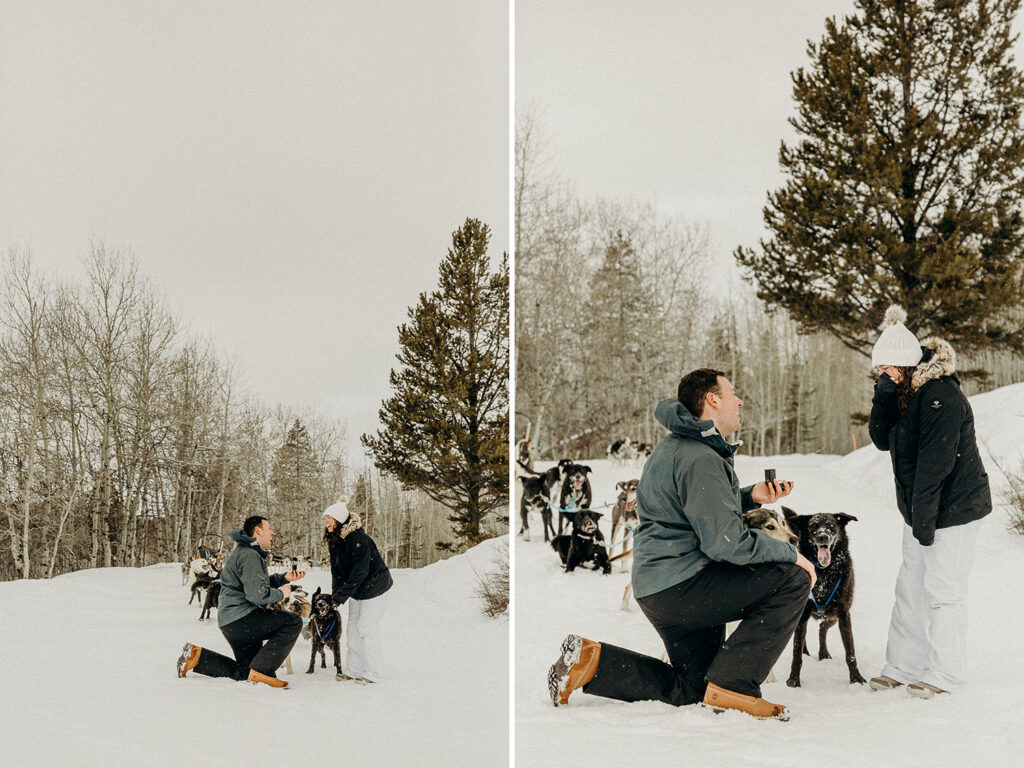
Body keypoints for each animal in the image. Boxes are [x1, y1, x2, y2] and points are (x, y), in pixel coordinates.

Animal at [782, 507, 864, 688]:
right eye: (813, 526)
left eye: (831, 525)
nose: (823, 537)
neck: (824, 573)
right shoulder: (803, 614)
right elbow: (796, 652)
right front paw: (793, 680)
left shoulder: (844, 614)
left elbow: (851, 652)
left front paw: (856, 679)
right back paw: (808, 652)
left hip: (832, 616)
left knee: (822, 627)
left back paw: (823, 653)